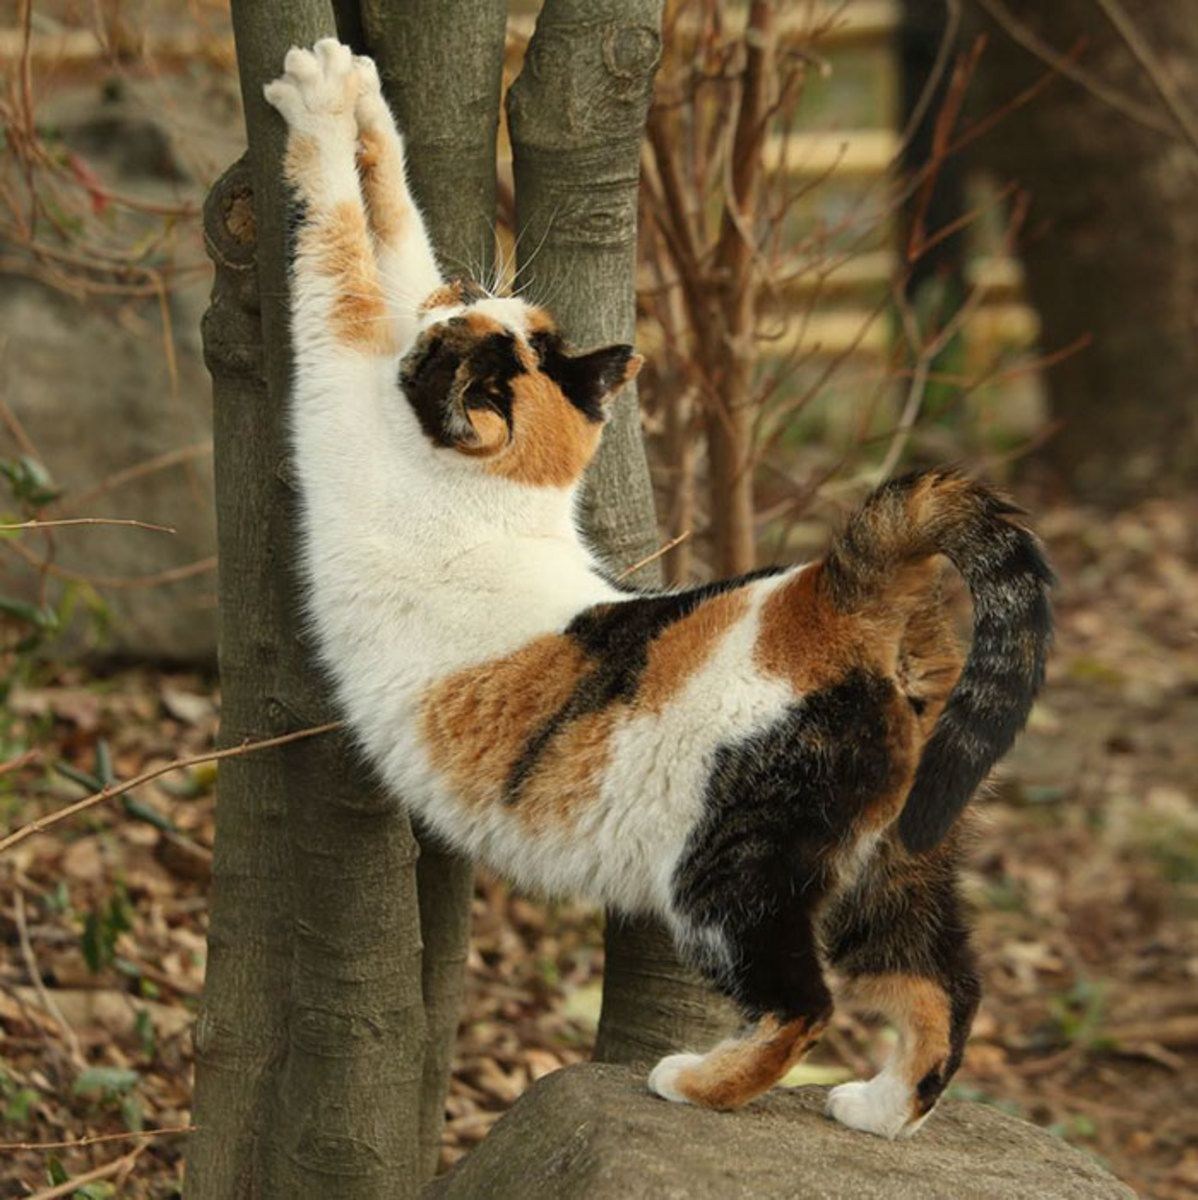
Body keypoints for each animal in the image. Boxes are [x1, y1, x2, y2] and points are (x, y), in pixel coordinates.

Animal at [262, 42, 1051, 1137]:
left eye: (456, 345)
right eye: (481, 315)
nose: (467, 295)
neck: (512, 498)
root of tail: (840, 591)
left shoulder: (340, 395)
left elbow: (336, 268)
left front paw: (319, 103)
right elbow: (401, 236)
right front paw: (365, 96)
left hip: (729, 876)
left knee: (805, 1002)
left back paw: (695, 1081)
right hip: (893, 857)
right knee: (940, 985)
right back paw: (880, 1110)